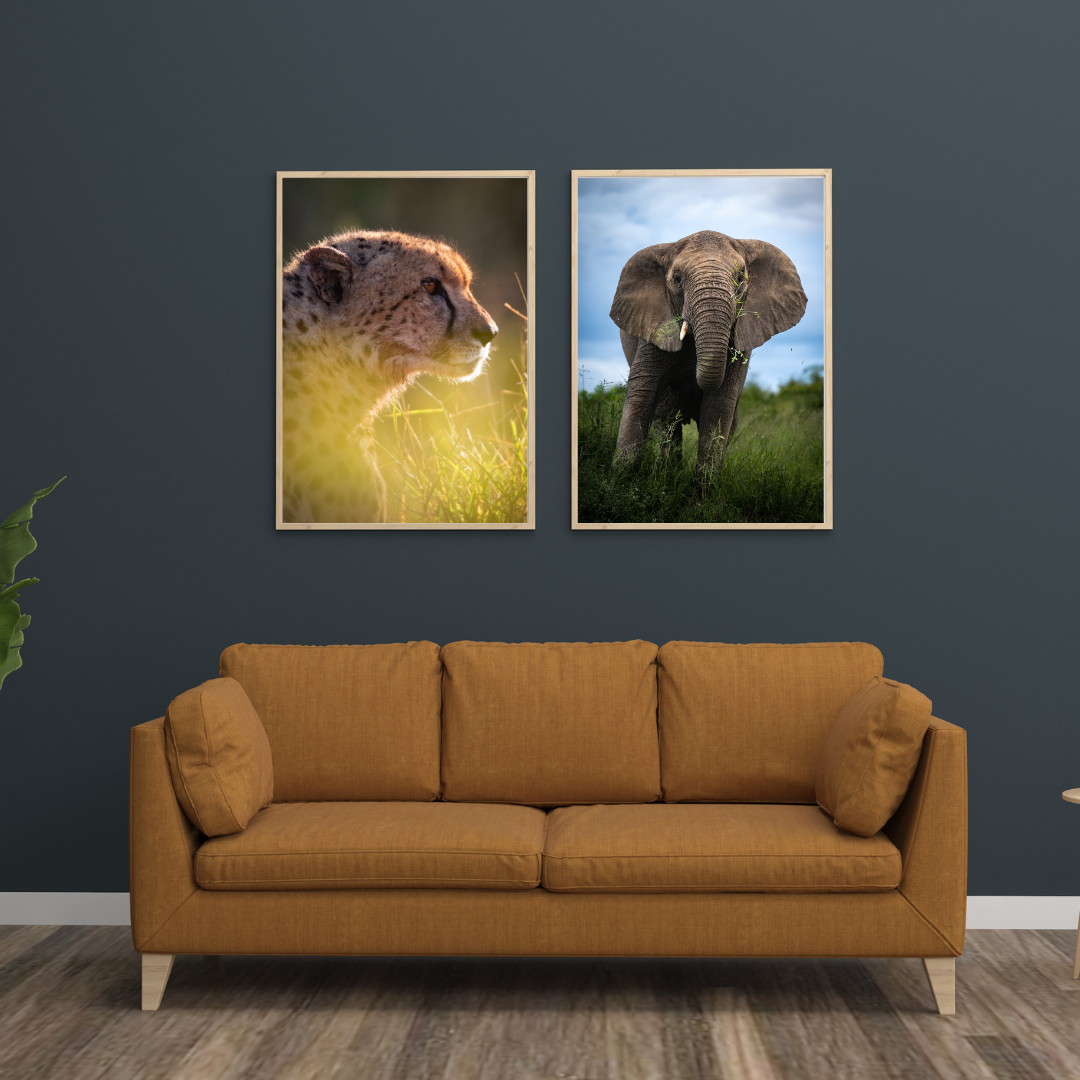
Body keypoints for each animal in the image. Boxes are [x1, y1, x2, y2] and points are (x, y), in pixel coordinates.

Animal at [609, 230, 807, 473]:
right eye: (677, 279)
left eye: (741, 279)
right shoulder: (654, 331)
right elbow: (641, 395)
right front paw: (621, 475)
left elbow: (718, 407)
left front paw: (704, 484)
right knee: (666, 421)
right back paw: (667, 471)